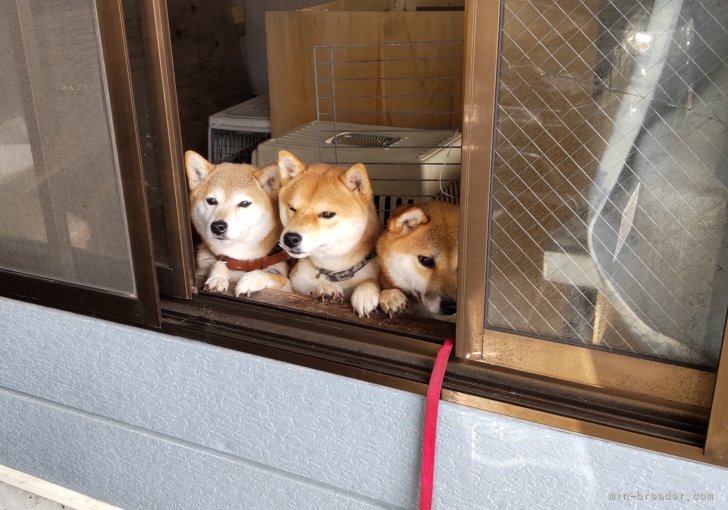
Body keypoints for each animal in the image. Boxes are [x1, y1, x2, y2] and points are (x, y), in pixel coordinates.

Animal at [183, 149, 292, 296]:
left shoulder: (288, 286)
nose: (218, 226)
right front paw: (217, 278)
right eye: (211, 201)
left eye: (244, 203)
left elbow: (274, 276)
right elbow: (219, 262)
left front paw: (252, 279)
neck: (239, 260)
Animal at [276, 149, 384, 316]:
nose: (290, 238)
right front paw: (327, 289)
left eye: (327, 214)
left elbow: (371, 282)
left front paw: (365, 292)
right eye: (292, 208)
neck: (335, 270)